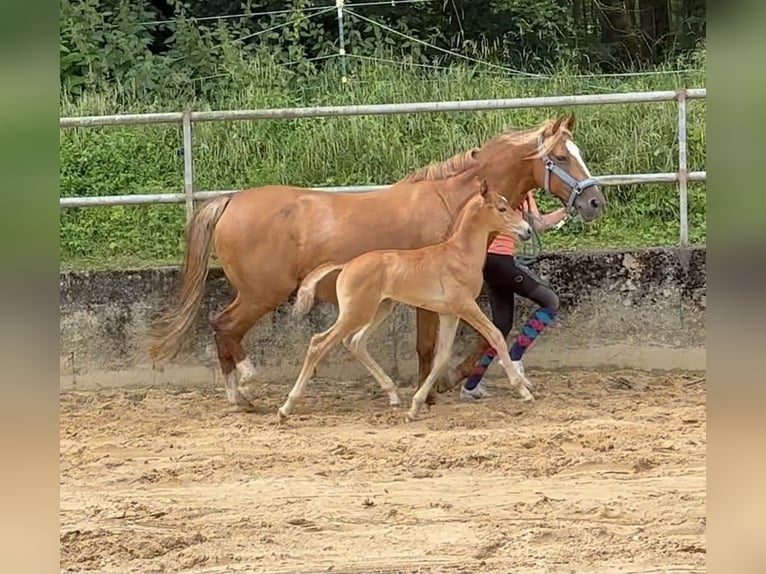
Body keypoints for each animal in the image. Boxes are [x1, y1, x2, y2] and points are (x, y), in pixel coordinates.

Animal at [282, 180, 536, 424]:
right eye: (502, 208)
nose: (527, 231)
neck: (459, 255)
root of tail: (346, 265)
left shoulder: (449, 314)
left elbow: (442, 357)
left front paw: (414, 408)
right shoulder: (465, 306)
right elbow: (495, 335)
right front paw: (524, 391)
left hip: (380, 309)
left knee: (356, 341)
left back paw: (393, 394)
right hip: (356, 313)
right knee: (319, 343)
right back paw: (286, 407)